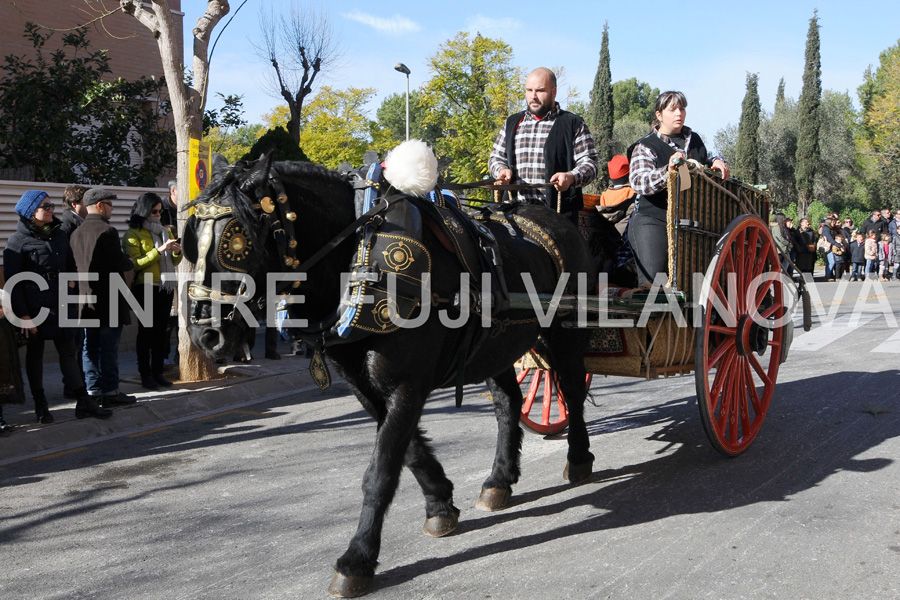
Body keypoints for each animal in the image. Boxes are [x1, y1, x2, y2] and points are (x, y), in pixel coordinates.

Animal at [183, 156, 596, 596]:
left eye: (235, 240)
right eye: (190, 240)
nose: (204, 334)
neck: (359, 259)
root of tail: (554, 218)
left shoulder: (405, 384)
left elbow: (380, 471)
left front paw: (357, 559)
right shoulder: (367, 386)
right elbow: (407, 451)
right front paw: (440, 503)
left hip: (565, 331)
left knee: (571, 389)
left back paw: (578, 458)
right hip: (496, 344)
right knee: (509, 403)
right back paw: (499, 480)